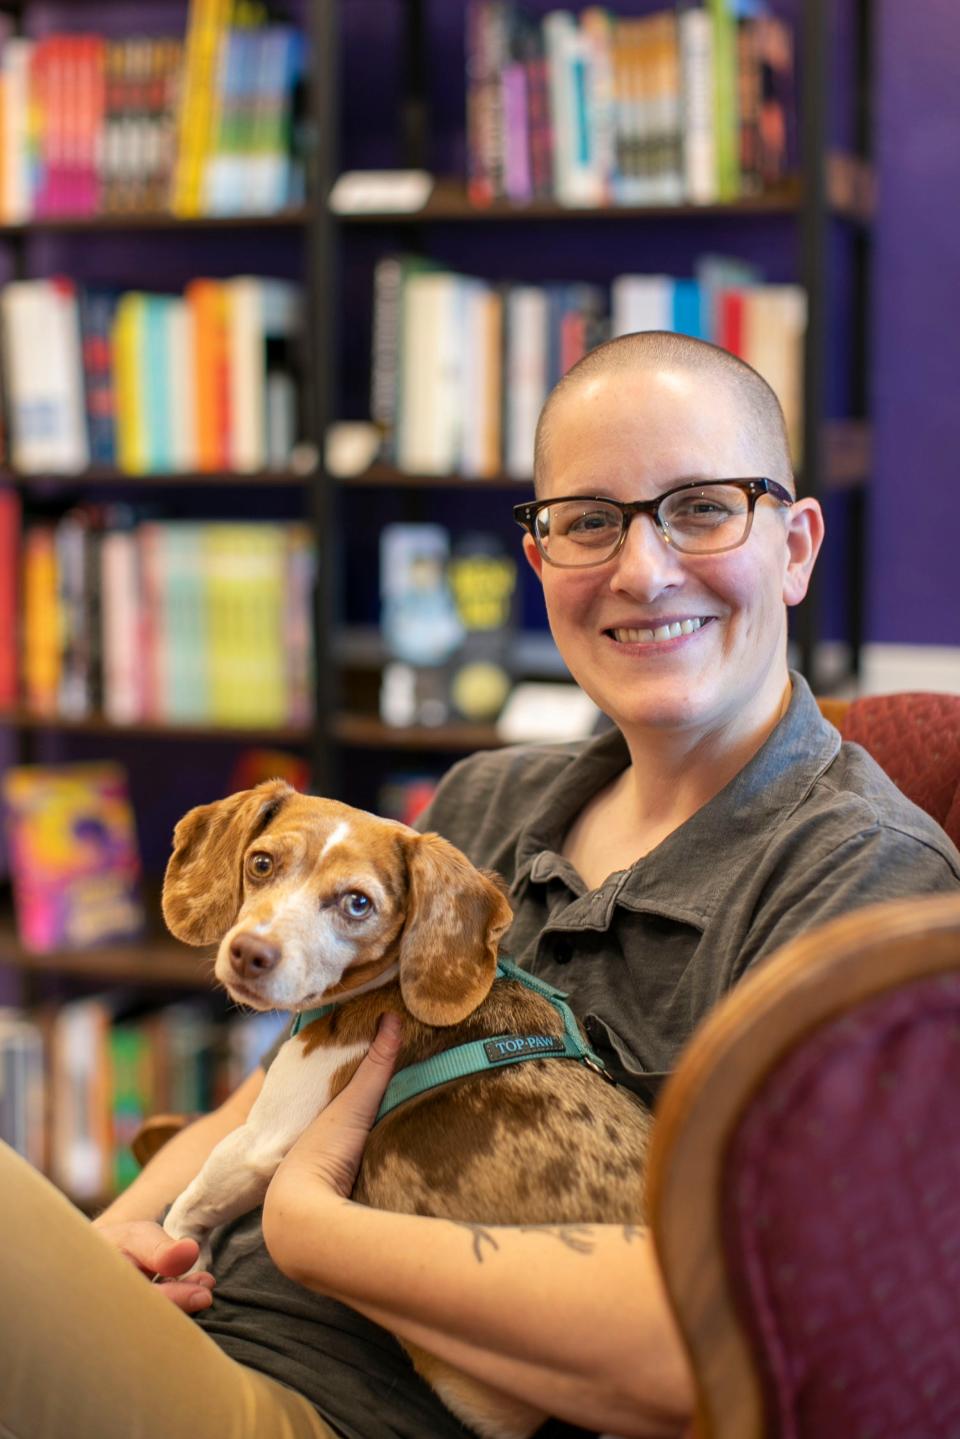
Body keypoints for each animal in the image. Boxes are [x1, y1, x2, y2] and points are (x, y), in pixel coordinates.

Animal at [159, 782, 653, 1439]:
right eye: (261, 863)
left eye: (357, 904)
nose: (248, 953)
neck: (388, 982)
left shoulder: (262, 1141)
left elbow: (189, 1208)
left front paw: (176, 1261)